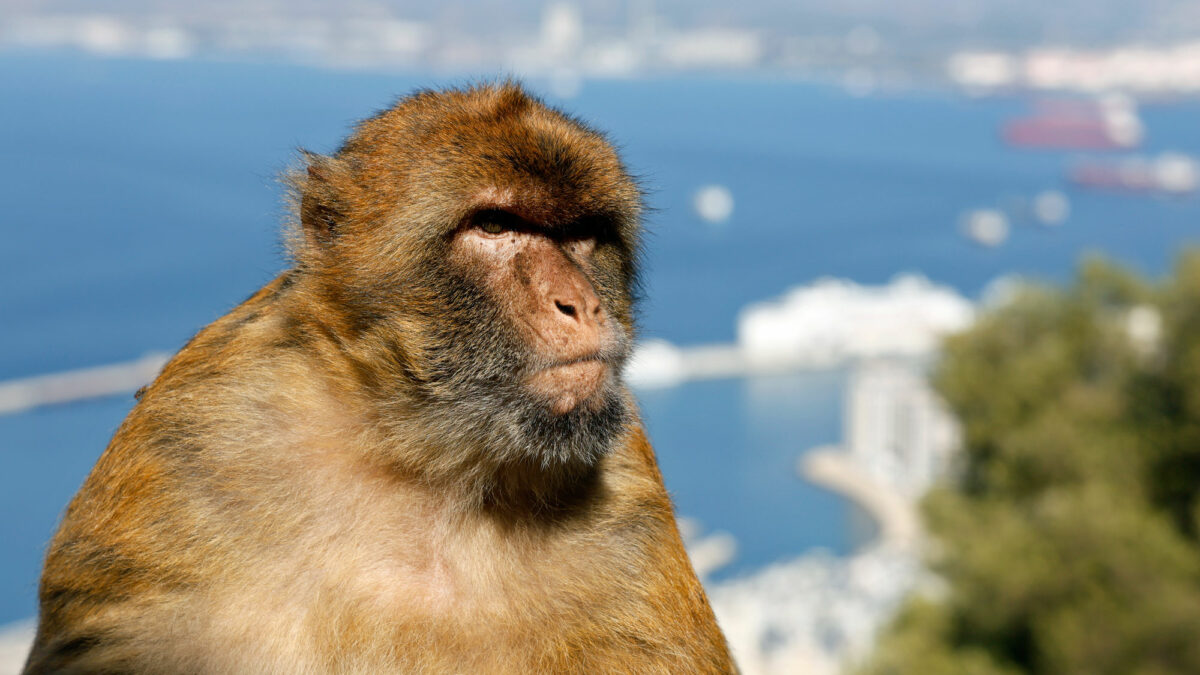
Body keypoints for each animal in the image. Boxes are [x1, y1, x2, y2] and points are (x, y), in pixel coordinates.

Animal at [23, 83, 736, 674]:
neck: (427, 458)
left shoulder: (626, 498)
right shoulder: (194, 432)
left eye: (585, 234)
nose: (581, 304)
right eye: (495, 225)